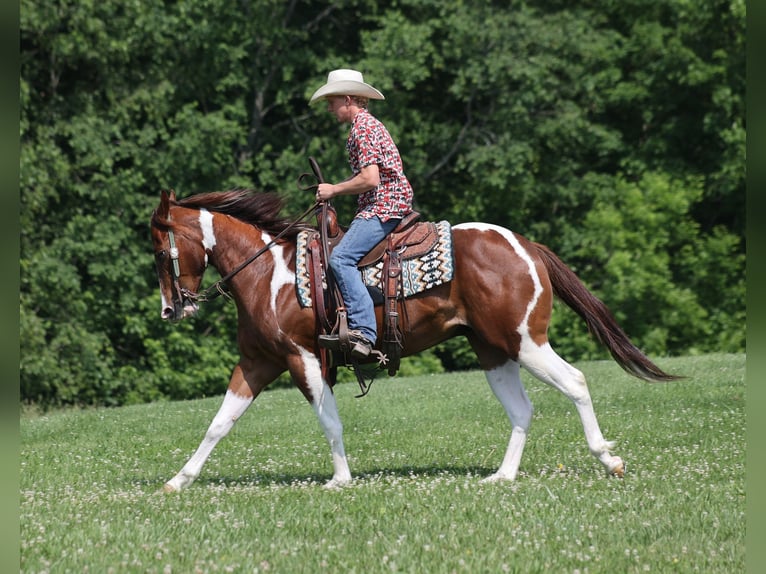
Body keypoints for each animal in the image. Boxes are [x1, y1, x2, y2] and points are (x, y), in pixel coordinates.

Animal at [150, 188, 677, 492]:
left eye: (158, 250)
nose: (170, 309)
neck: (268, 274)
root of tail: (526, 246)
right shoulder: (257, 363)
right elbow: (219, 423)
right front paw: (178, 481)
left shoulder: (304, 359)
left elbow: (329, 422)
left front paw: (340, 480)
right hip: (493, 352)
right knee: (523, 409)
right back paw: (503, 475)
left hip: (526, 342)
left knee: (576, 382)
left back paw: (609, 460)